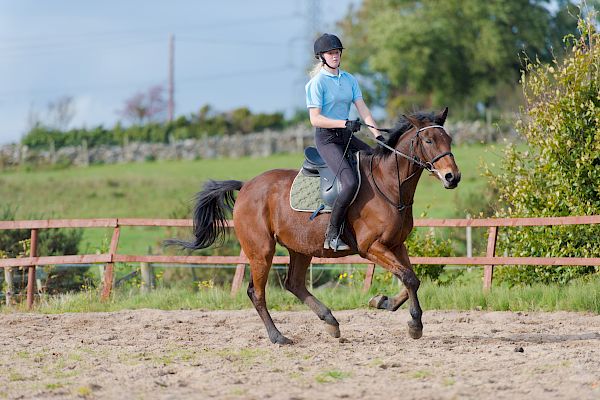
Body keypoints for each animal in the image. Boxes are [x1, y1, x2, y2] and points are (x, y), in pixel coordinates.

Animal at [166, 108, 462, 344]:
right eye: (428, 140)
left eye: (448, 139)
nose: (452, 177)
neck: (388, 185)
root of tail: (247, 185)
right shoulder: (371, 247)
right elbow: (409, 278)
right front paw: (414, 325)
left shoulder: (396, 245)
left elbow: (411, 278)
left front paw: (383, 302)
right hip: (261, 250)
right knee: (257, 292)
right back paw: (278, 337)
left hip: (300, 248)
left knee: (294, 283)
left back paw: (330, 321)